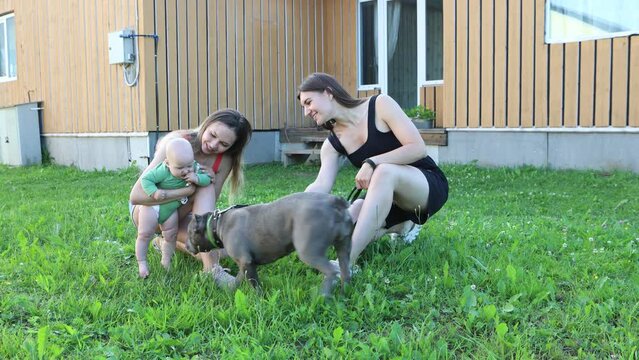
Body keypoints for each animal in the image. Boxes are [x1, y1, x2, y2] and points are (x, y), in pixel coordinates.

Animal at [185, 191, 356, 296]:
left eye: (189, 233)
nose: (186, 246)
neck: (216, 224)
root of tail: (334, 201)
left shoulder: (246, 262)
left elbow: (255, 285)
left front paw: (259, 300)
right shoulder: (245, 264)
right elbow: (240, 278)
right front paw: (232, 288)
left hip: (309, 252)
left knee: (331, 271)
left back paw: (321, 296)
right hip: (344, 247)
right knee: (345, 271)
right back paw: (344, 292)